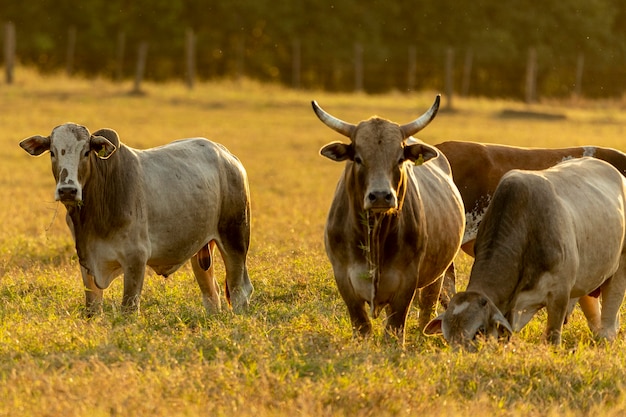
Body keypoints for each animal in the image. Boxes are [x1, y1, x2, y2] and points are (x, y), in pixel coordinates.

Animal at [20, 123, 252, 316]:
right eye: (52, 152)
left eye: (86, 152)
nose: (67, 190)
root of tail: (228, 156)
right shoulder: (87, 262)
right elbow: (92, 309)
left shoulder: (135, 259)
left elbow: (128, 311)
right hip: (201, 249)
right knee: (211, 294)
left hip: (234, 240)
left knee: (239, 290)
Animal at [310, 96, 464, 342]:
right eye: (358, 158)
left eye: (400, 159)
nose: (381, 195)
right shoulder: (343, 278)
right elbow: (361, 325)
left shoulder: (406, 281)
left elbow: (395, 327)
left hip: (438, 275)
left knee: (427, 305)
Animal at [422, 157, 624, 348]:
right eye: (447, 336)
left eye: (479, 331)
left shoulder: (559, 295)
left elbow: (552, 338)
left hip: (618, 271)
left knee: (608, 324)